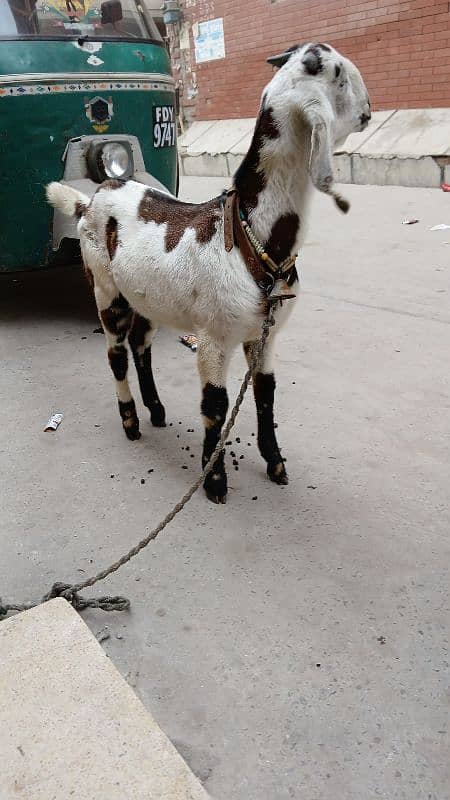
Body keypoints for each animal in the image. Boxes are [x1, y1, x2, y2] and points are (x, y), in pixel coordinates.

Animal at [45, 40, 370, 504]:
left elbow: (265, 393)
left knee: (141, 344)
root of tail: (89, 201)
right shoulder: (214, 338)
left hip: (148, 297)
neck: (250, 234)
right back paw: (131, 421)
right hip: (105, 288)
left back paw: (156, 409)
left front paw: (275, 463)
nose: (369, 110)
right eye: (338, 75)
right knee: (116, 353)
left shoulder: (264, 334)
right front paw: (214, 480)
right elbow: (215, 405)